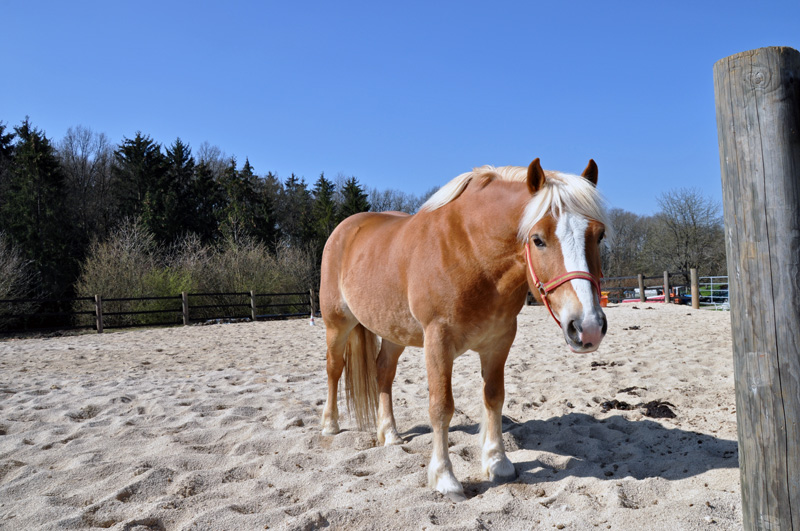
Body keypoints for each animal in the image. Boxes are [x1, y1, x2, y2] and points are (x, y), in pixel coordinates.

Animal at [316, 158, 608, 502]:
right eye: (538, 239)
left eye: (599, 236)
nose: (587, 327)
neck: (471, 253)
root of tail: (345, 229)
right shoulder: (438, 342)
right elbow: (442, 407)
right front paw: (445, 478)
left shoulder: (499, 342)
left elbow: (494, 397)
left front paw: (497, 462)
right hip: (337, 324)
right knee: (334, 368)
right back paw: (330, 425)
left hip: (393, 332)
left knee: (383, 373)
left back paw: (390, 433)